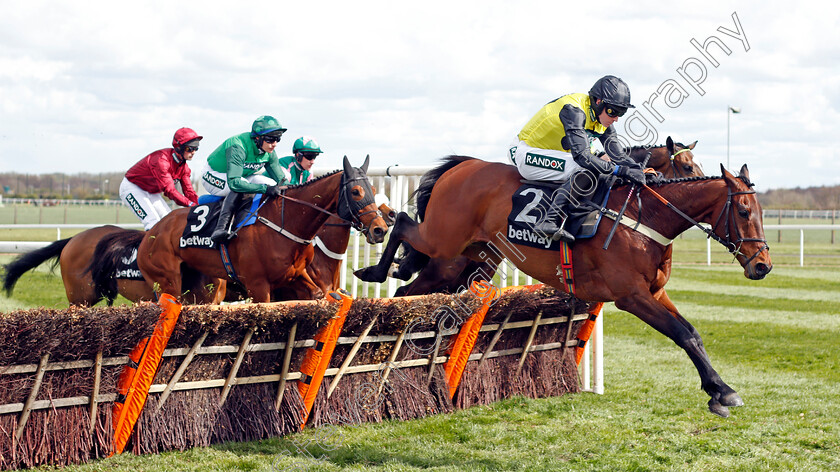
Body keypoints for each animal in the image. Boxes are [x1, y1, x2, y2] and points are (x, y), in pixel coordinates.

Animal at [138, 156, 388, 302]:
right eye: (356, 191)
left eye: (374, 189)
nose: (381, 229)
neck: (287, 223)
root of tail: (151, 232)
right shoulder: (258, 287)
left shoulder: (296, 276)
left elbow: (319, 293)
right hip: (168, 282)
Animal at [358, 156, 772, 416]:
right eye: (743, 211)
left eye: (762, 212)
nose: (762, 265)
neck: (645, 218)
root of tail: (462, 166)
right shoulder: (632, 297)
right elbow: (682, 334)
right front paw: (722, 391)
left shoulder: (655, 293)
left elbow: (693, 333)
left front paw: (718, 389)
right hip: (442, 243)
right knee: (402, 224)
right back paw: (374, 272)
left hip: (459, 263)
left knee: (410, 295)